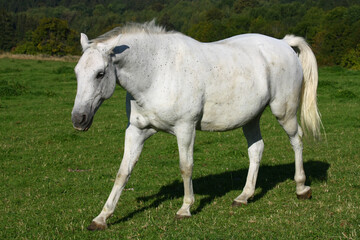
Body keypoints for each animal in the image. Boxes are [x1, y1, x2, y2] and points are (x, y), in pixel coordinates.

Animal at [71, 21, 322, 231]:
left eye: (100, 73)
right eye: (77, 72)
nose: (78, 119)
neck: (157, 72)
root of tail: (283, 43)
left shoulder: (185, 128)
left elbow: (186, 167)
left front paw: (185, 209)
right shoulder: (136, 131)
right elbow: (123, 172)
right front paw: (102, 217)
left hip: (284, 112)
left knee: (297, 140)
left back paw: (301, 188)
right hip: (251, 118)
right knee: (256, 149)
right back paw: (244, 196)